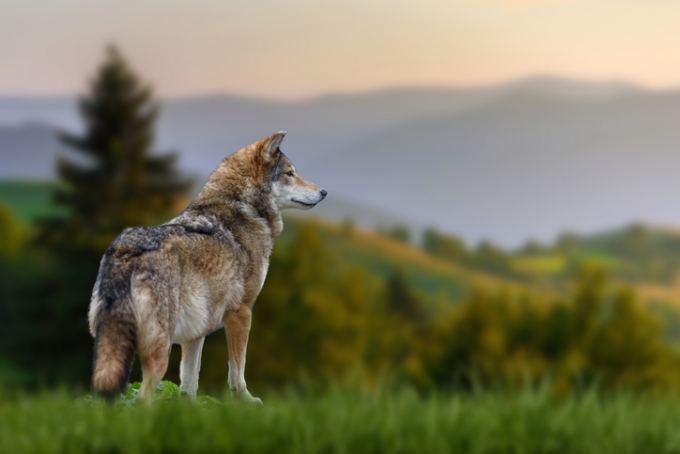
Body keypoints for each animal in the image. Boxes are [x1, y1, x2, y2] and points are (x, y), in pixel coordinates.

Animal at [87, 132, 326, 404]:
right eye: (290, 173)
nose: (324, 191)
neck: (243, 209)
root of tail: (126, 250)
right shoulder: (241, 312)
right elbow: (237, 372)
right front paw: (247, 402)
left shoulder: (196, 331)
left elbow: (189, 384)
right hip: (159, 351)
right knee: (142, 399)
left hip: (110, 352)